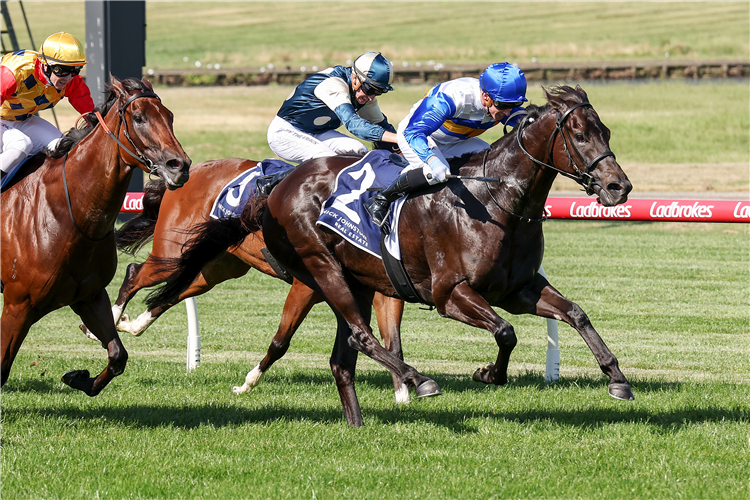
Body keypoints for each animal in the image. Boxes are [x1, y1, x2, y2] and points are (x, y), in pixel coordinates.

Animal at [0, 77, 191, 394]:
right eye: (138, 117)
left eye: (170, 116)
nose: (180, 166)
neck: (67, 212)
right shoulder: (18, 305)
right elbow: (2, 366)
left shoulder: (90, 296)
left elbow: (117, 356)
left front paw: (77, 377)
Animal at [87, 160, 412, 402]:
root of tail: (193, 171)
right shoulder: (308, 284)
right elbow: (281, 341)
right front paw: (247, 383)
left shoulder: (386, 291)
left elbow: (393, 341)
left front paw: (403, 394)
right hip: (172, 252)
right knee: (135, 273)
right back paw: (108, 320)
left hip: (216, 266)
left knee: (169, 296)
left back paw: (130, 324)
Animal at [151, 86, 636, 426]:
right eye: (578, 134)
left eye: (608, 132)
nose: (619, 187)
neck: (497, 200)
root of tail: (275, 190)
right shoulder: (451, 294)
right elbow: (505, 332)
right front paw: (487, 374)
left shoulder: (518, 289)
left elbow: (575, 313)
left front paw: (617, 379)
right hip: (321, 269)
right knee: (361, 337)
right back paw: (419, 381)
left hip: (355, 280)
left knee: (344, 354)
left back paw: (359, 421)